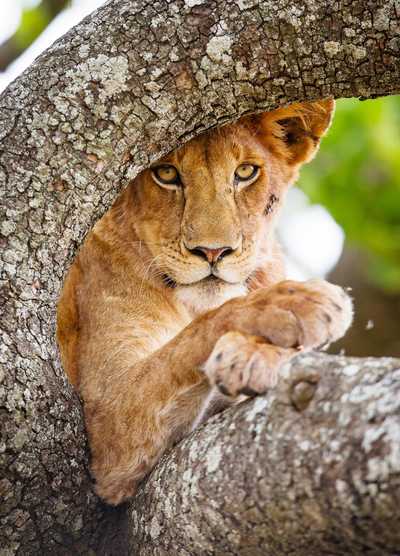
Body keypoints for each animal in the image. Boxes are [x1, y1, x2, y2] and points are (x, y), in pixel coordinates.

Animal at [57, 97, 354, 506]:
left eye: (245, 172)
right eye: (166, 173)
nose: (213, 252)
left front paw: (253, 355)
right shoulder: (108, 416)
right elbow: (198, 332)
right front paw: (297, 303)